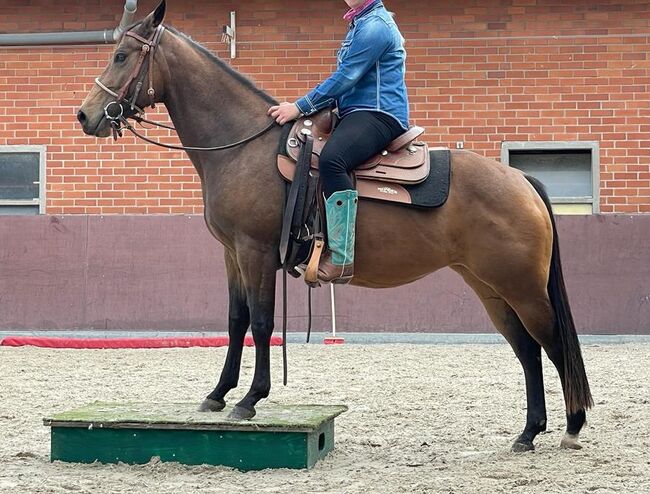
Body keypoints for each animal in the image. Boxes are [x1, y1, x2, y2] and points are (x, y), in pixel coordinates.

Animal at [77, 0, 592, 452]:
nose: (86, 115)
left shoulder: (256, 250)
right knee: (527, 350)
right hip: (491, 289)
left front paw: (250, 399)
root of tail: (521, 180)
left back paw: (571, 427)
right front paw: (217, 394)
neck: (242, 146)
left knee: (553, 345)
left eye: (121, 55)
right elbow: (236, 319)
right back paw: (528, 433)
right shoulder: (232, 253)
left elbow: (262, 322)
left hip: (523, 288)